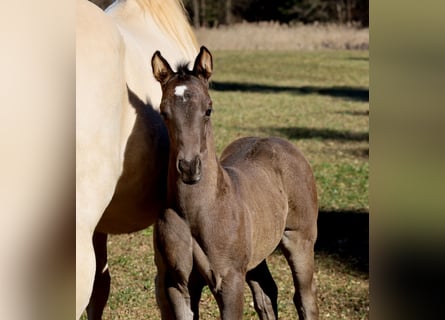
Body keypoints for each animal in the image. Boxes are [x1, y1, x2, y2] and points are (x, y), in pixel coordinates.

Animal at [151, 46, 318, 318]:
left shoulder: (229, 281)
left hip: (299, 238)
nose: (189, 168)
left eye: (208, 109)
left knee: (305, 296)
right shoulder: (178, 285)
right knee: (266, 293)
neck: (196, 212)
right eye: (163, 112)